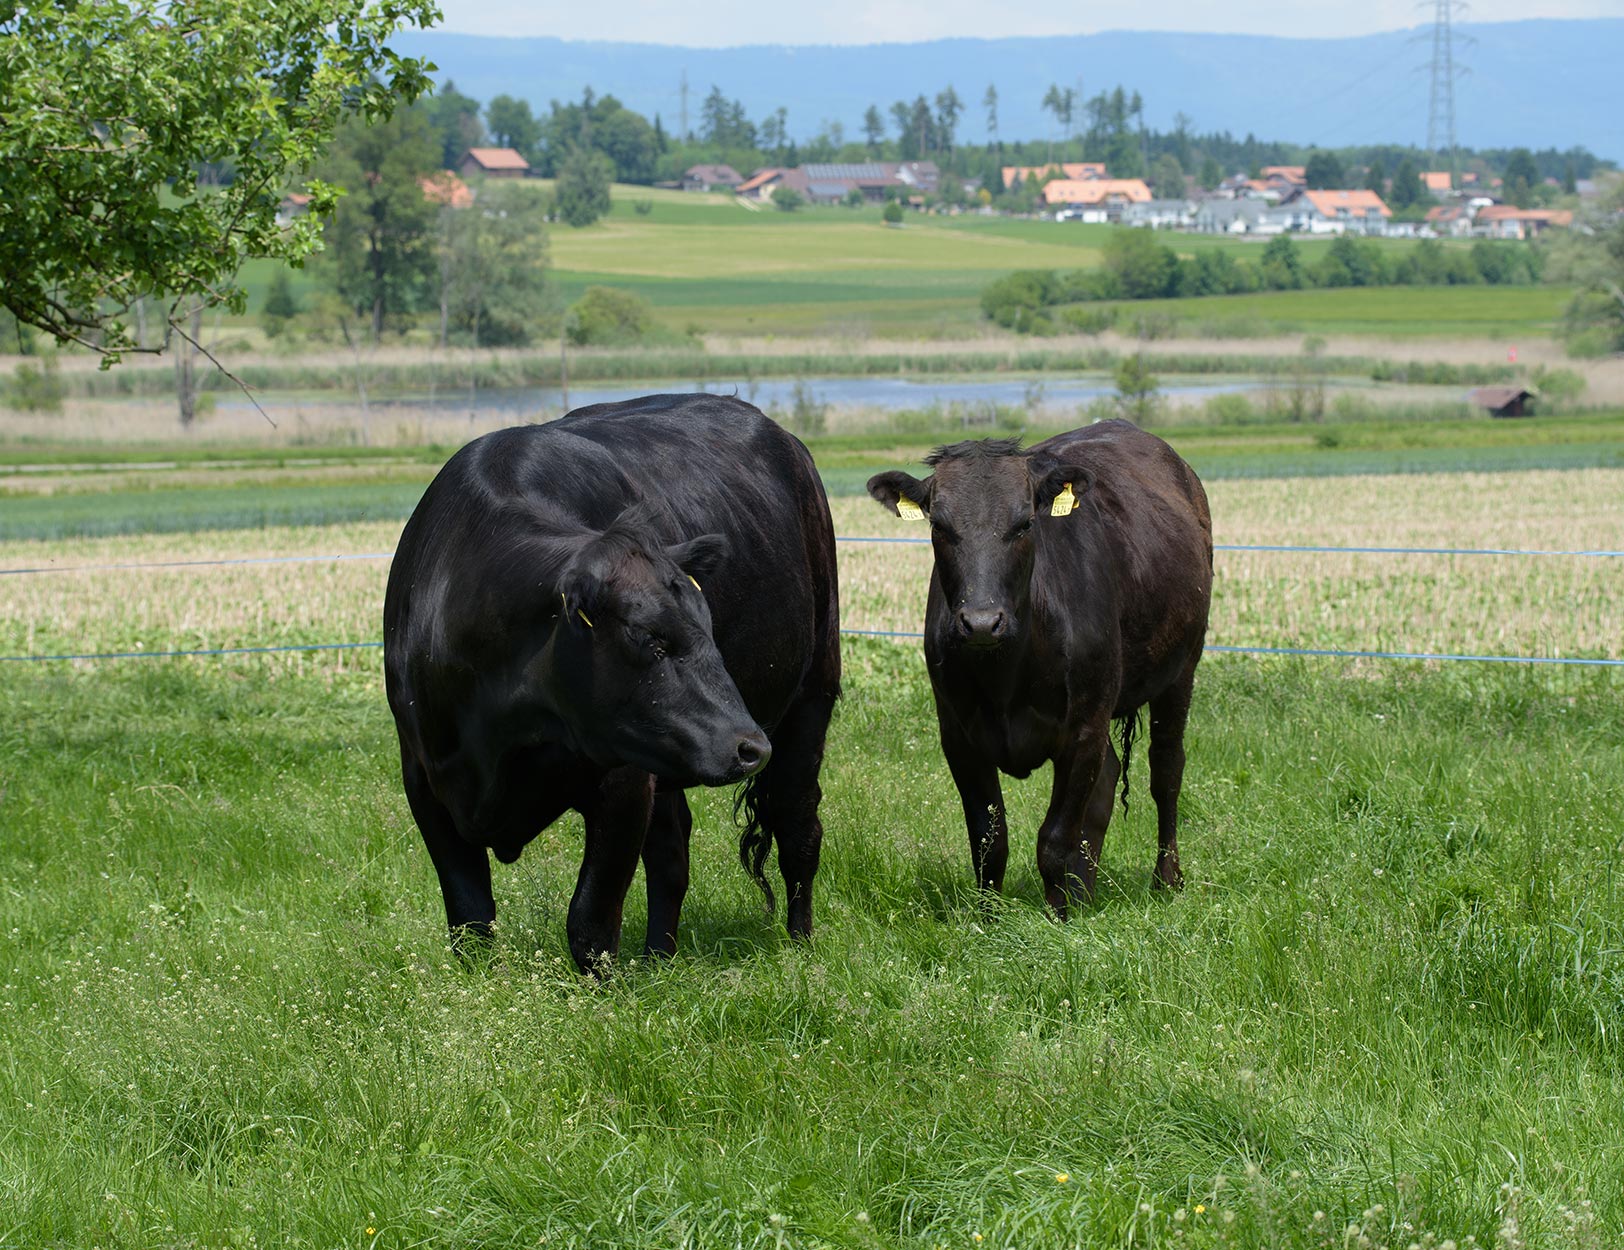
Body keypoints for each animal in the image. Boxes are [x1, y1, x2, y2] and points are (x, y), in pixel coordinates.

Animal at [380, 394, 837, 967]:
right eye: (649, 640)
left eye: (709, 627)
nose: (749, 745)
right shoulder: (424, 779)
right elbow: (470, 917)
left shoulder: (621, 782)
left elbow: (590, 919)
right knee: (672, 853)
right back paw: (659, 960)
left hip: (811, 694)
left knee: (798, 826)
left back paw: (801, 948)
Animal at [870, 422, 1214, 915]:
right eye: (939, 525)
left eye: (1025, 524)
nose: (981, 621)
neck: (1005, 677)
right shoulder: (958, 735)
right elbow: (988, 840)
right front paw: (991, 919)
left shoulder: (1083, 727)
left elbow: (1054, 839)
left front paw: (1059, 918)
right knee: (1107, 783)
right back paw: (1086, 890)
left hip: (1181, 669)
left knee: (1166, 772)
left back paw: (1166, 880)